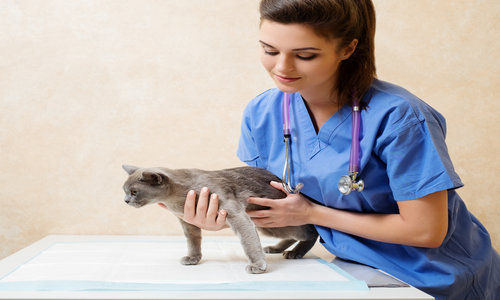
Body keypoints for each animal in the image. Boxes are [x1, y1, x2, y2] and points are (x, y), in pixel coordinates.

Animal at [122, 165, 316, 274]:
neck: (175, 200)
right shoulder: (188, 222)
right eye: (124, 190)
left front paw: (257, 265)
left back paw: (295, 252)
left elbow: (248, 242)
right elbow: (193, 241)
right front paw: (193, 258)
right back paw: (276, 248)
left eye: (134, 192)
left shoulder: (234, 212)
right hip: (268, 224)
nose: (125, 201)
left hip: (278, 218)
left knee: (310, 232)